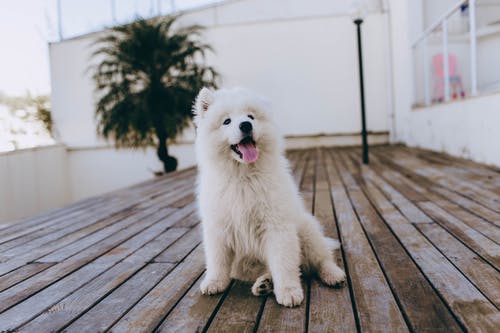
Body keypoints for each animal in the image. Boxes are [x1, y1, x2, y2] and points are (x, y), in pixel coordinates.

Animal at [193, 86, 346, 306]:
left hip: (308, 232)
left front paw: (289, 292)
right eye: (227, 121)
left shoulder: (276, 226)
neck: (243, 176)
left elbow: (284, 263)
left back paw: (333, 275)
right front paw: (214, 282)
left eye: (251, 117)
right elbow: (217, 260)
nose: (246, 125)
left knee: (320, 260)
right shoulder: (218, 228)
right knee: (269, 269)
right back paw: (264, 284)